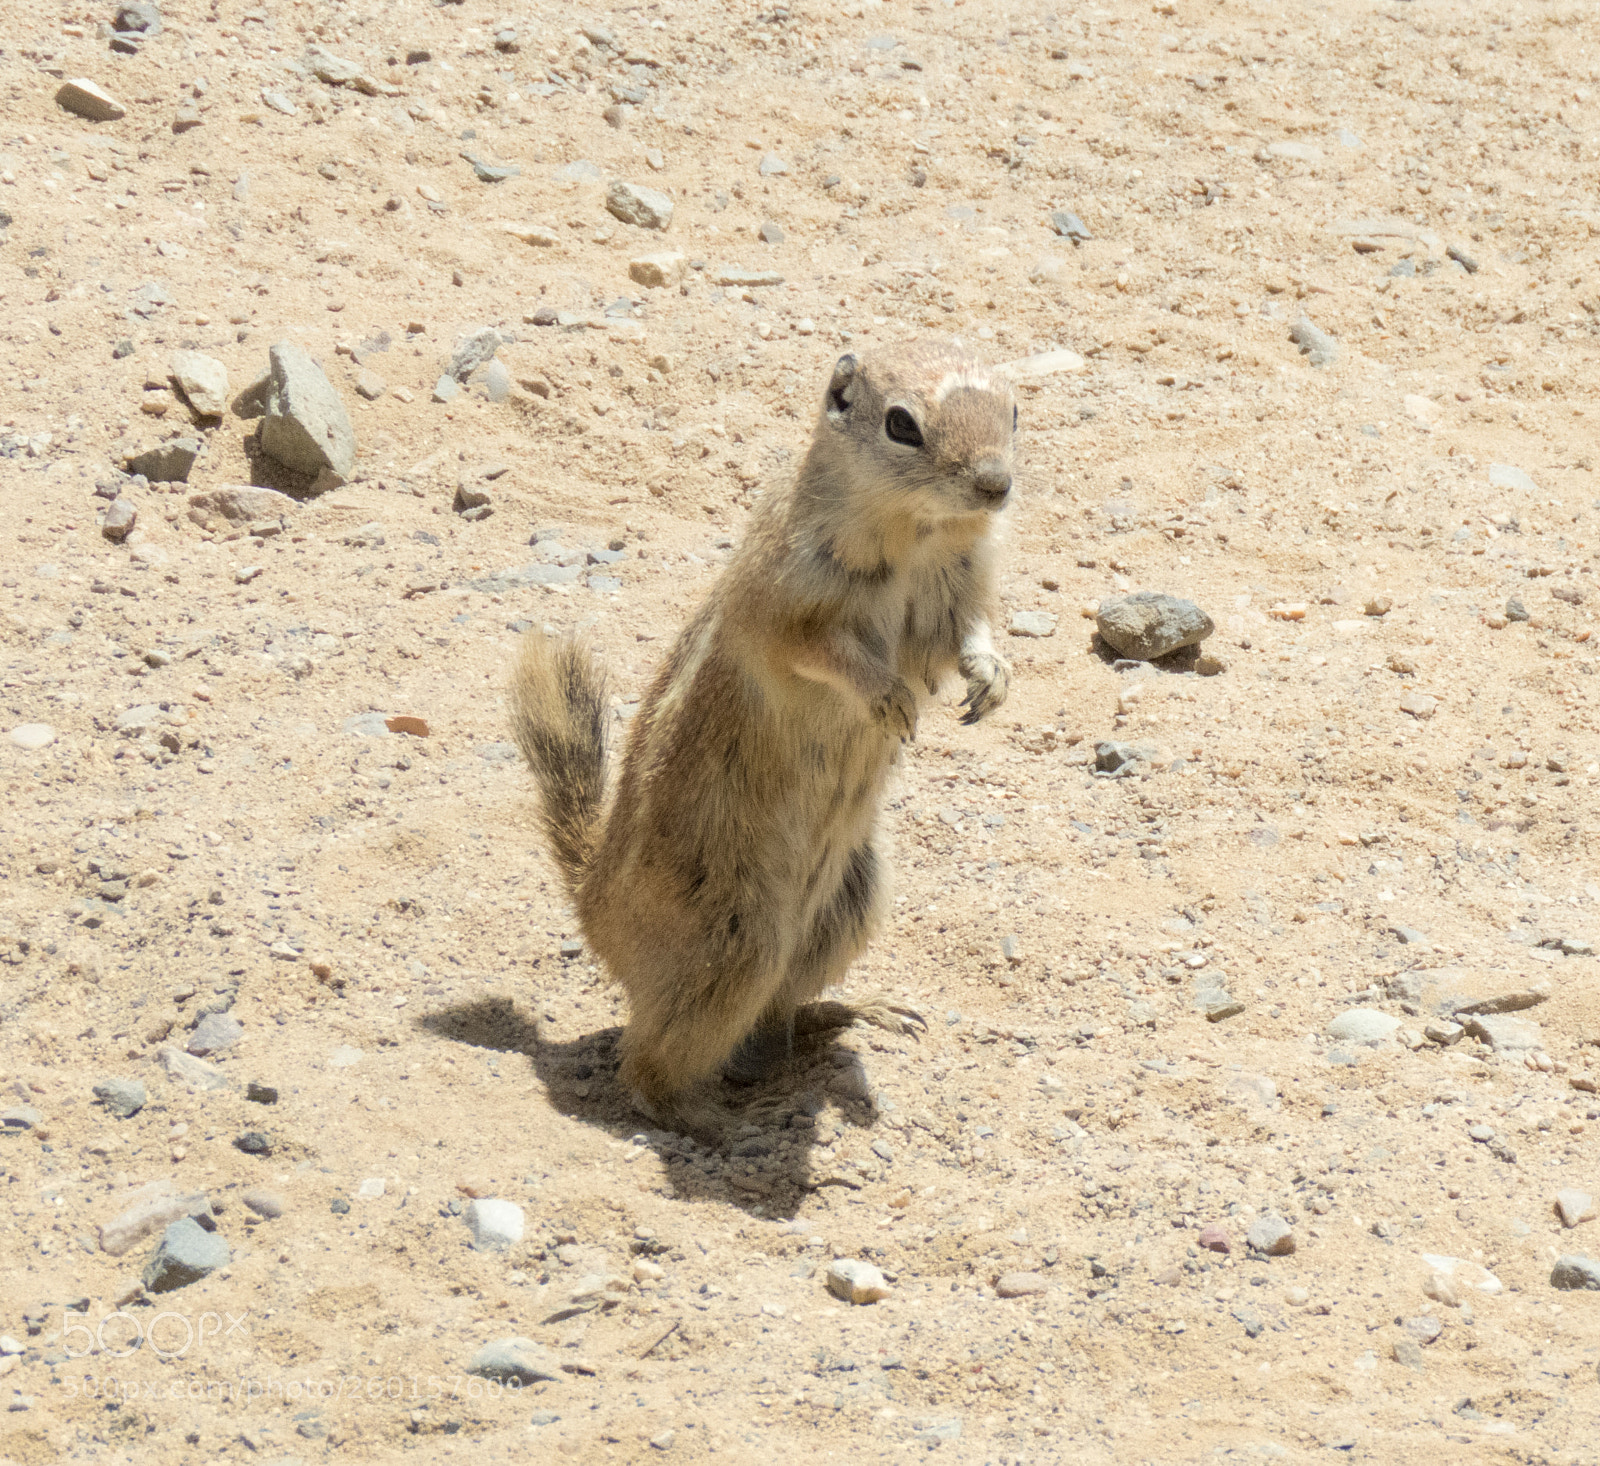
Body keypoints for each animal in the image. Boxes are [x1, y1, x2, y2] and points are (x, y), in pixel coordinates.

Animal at [511, 340, 1017, 1138]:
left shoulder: (959, 587)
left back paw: (862, 1015)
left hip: (847, 904)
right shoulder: (785, 592)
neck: (917, 532)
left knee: (775, 1015)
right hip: (737, 941)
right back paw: (728, 1122)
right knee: (646, 1069)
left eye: (1016, 411)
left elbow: (969, 633)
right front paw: (888, 697)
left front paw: (991, 679)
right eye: (902, 425)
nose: (997, 485)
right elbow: (817, 650)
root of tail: (590, 905)